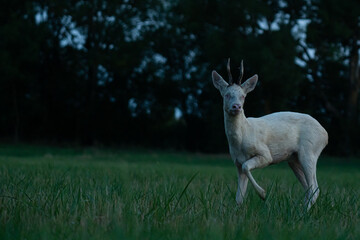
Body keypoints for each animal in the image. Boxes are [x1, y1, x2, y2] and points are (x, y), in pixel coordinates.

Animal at [212, 58, 328, 210]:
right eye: (227, 94)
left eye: (243, 96)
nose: (237, 106)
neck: (241, 139)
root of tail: (325, 134)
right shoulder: (237, 162)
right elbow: (239, 197)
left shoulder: (265, 154)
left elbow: (247, 166)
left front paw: (262, 194)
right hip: (294, 159)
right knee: (309, 188)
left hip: (310, 151)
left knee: (315, 188)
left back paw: (303, 212)